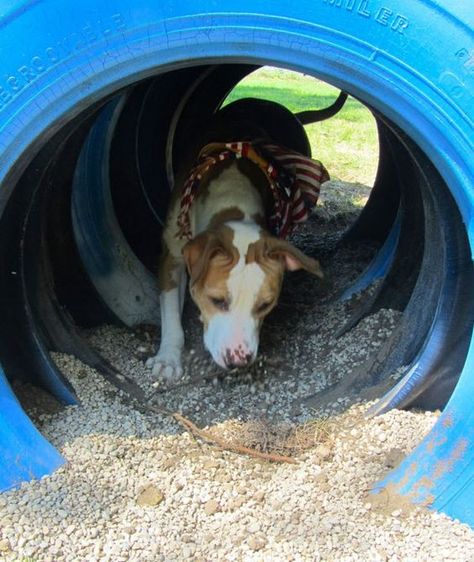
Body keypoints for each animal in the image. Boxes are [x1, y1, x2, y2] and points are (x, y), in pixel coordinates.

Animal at [148, 101, 330, 380]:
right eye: (217, 301)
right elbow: (170, 313)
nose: (238, 360)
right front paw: (167, 357)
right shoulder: (173, 254)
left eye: (265, 305)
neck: (233, 198)